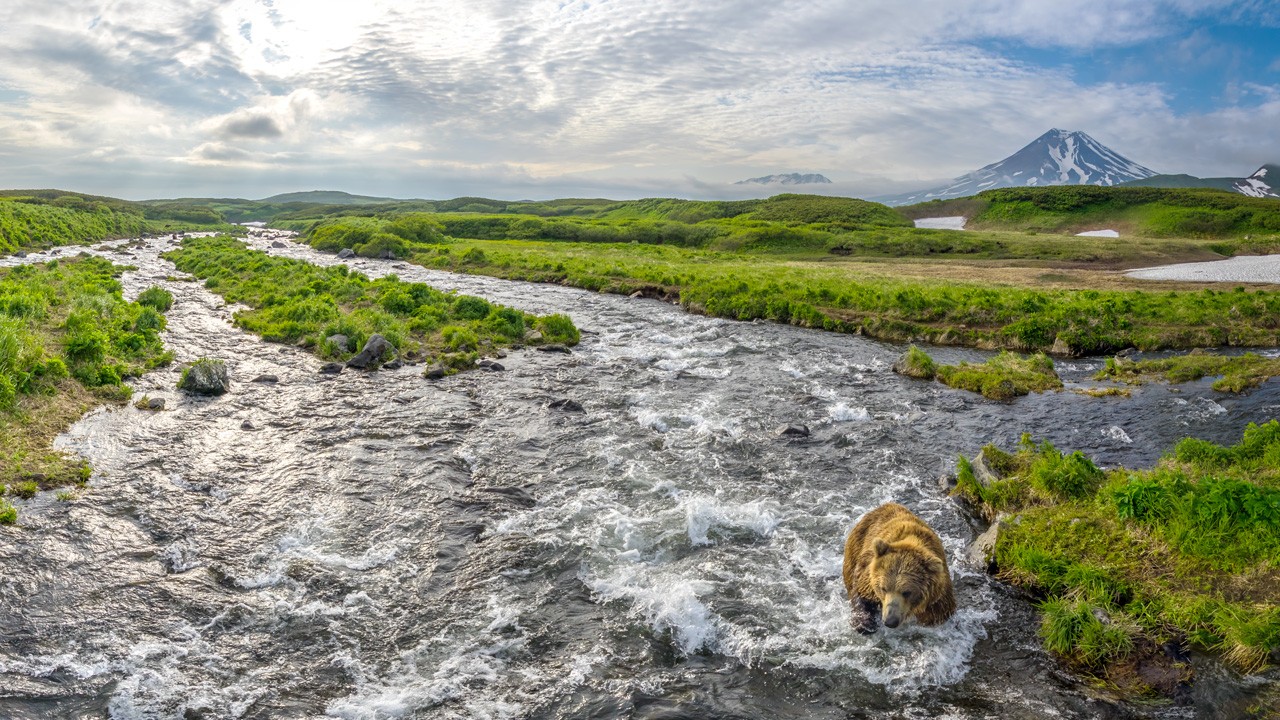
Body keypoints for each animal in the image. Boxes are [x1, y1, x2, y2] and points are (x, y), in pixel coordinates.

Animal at [844, 502, 957, 630]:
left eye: (907, 592)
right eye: (883, 588)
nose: (890, 621)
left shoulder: (937, 598)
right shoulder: (868, 575)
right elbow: (862, 592)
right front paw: (864, 623)